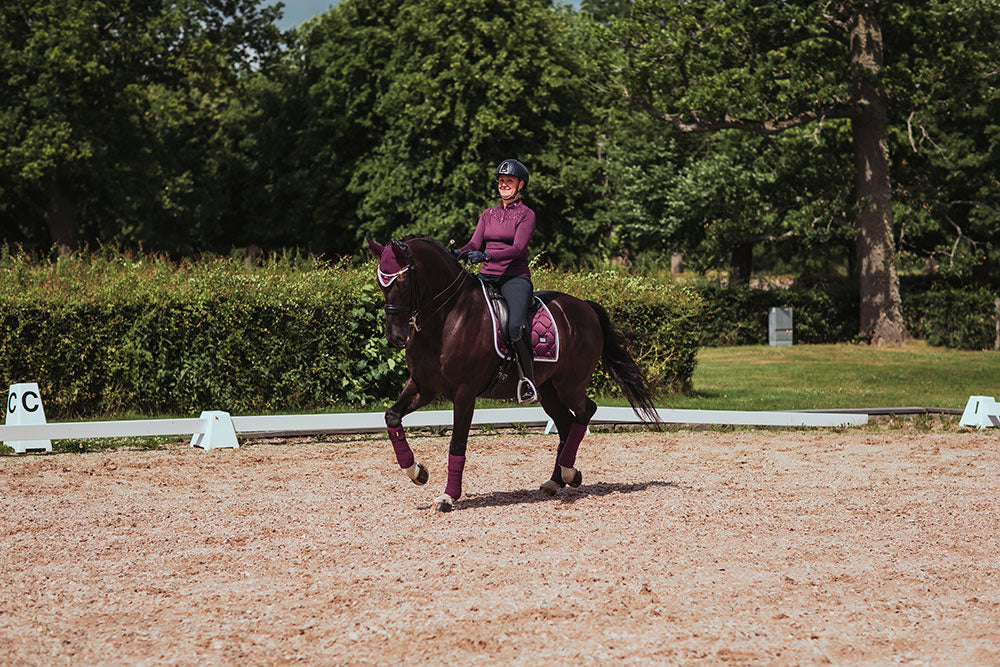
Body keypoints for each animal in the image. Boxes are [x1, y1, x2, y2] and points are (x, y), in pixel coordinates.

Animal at [364, 235, 660, 512]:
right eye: (381, 283)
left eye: (402, 282)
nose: (395, 337)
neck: (446, 318)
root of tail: (585, 307)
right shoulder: (423, 387)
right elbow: (392, 417)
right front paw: (417, 472)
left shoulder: (464, 393)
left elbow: (457, 445)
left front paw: (448, 497)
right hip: (548, 391)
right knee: (566, 426)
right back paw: (559, 479)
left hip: (570, 385)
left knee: (586, 411)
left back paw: (568, 473)